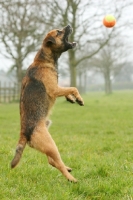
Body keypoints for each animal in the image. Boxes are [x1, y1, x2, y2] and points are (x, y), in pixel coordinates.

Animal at [11, 25, 84, 183]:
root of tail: (24, 133)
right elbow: (73, 87)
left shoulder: (57, 88)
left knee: (52, 161)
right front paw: (78, 98)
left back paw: (68, 169)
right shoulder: (54, 89)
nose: (68, 25)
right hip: (51, 144)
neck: (45, 60)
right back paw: (71, 179)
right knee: (56, 162)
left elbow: (68, 89)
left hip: (48, 142)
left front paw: (71, 98)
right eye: (59, 32)